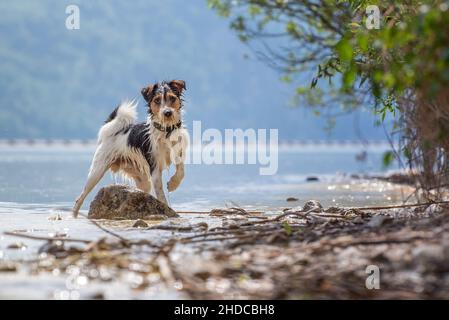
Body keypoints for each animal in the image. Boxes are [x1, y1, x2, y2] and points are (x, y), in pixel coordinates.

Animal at [72, 79, 188, 218]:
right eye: (157, 100)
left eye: (172, 98)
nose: (167, 112)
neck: (166, 131)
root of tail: (113, 130)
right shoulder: (154, 168)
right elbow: (161, 195)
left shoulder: (178, 153)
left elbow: (181, 171)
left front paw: (173, 184)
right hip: (96, 171)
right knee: (79, 198)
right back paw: (73, 216)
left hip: (143, 180)